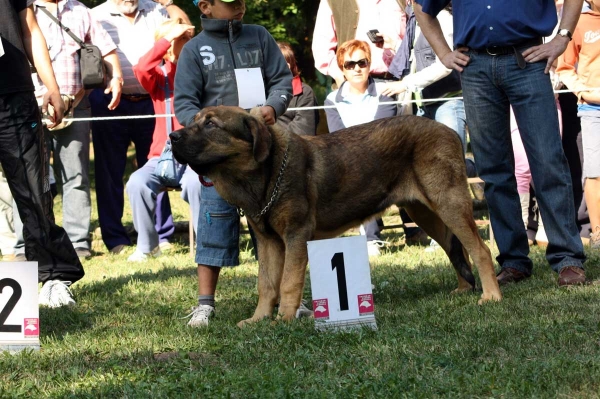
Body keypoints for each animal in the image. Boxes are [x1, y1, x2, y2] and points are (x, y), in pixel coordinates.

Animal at [169, 107, 502, 328]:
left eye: (211, 124)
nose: (172, 135)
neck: (264, 176)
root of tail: (450, 131)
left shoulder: (296, 235)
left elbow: (288, 281)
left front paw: (284, 318)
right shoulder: (268, 241)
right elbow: (267, 284)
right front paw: (258, 319)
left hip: (448, 202)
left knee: (480, 249)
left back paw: (491, 296)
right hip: (423, 211)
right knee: (456, 248)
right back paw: (463, 289)